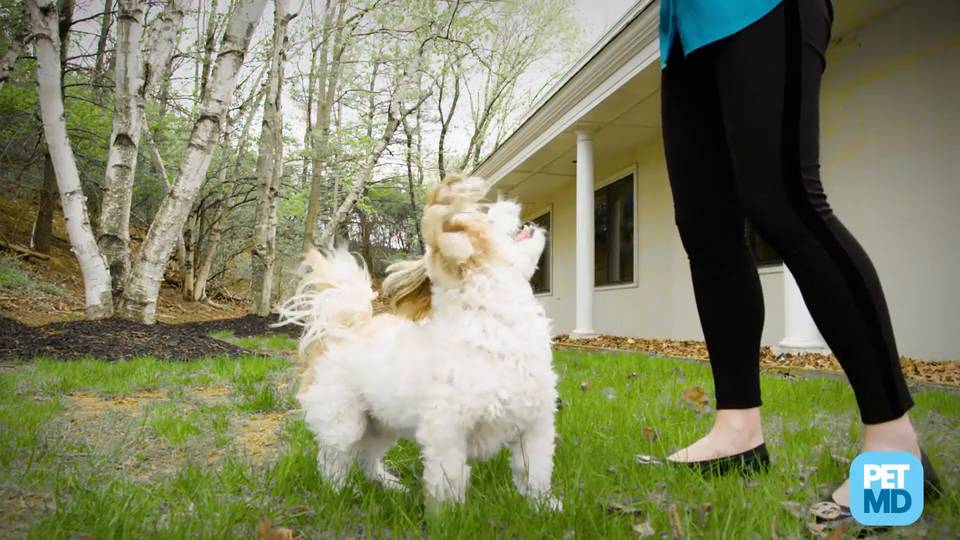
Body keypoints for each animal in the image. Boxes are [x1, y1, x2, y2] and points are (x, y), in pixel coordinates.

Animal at [278, 176, 560, 506]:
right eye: (488, 218)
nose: (508, 202)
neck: (495, 324)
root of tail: (345, 327)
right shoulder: (447, 432)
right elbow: (449, 483)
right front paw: (452, 514)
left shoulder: (536, 426)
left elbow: (535, 473)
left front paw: (543, 506)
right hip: (344, 421)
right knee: (334, 460)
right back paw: (339, 493)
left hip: (382, 423)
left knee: (368, 456)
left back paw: (387, 484)